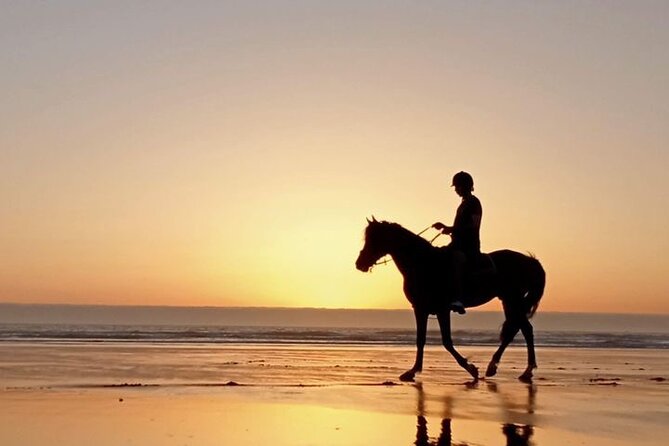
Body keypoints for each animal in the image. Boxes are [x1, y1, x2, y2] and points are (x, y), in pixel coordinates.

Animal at [355, 218, 546, 382]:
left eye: (375, 238)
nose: (360, 263)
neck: (424, 263)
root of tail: (530, 261)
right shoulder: (420, 308)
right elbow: (420, 340)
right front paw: (413, 371)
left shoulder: (441, 309)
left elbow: (446, 341)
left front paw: (471, 369)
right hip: (508, 300)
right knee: (518, 329)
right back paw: (498, 368)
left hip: (513, 299)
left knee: (524, 329)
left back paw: (523, 370)